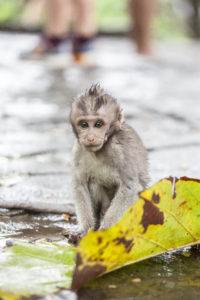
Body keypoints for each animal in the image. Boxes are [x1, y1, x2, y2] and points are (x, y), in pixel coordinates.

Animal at [69, 84, 148, 241]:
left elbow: (129, 187)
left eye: (98, 124)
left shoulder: (121, 150)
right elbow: (80, 184)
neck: (99, 151)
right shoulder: (78, 150)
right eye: (84, 124)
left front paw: (105, 231)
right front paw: (85, 230)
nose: (90, 138)